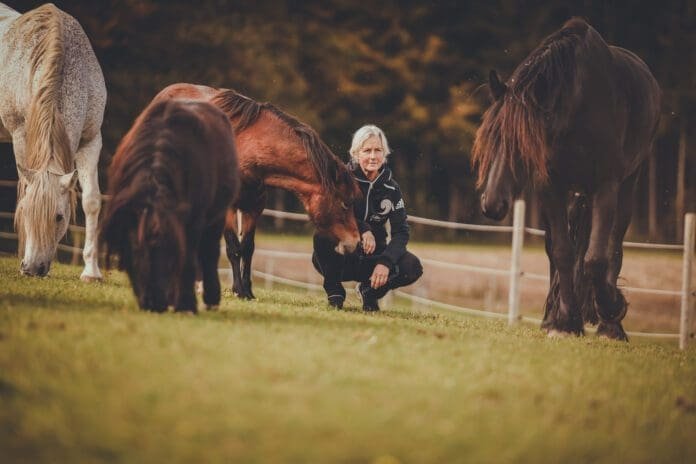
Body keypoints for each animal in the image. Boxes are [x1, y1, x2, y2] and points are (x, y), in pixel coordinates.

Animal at [0, 3, 106, 279]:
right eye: (27, 212)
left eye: (59, 217)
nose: (32, 268)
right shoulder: (20, 135)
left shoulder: (91, 140)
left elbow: (91, 200)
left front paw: (91, 271)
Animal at [100, 99, 239, 313]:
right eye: (133, 250)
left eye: (164, 247)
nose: (152, 303)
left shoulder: (194, 222)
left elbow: (188, 259)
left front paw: (186, 304)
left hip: (217, 217)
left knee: (209, 252)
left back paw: (210, 298)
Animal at [148, 83, 362, 299]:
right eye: (345, 203)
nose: (355, 242)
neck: (245, 150)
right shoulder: (228, 208)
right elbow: (234, 248)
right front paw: (238, 290)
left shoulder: (254, 207)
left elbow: (248, 248)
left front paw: (248, 290)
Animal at [472, 18, 661, 341]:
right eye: (491, 139)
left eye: (522, 144)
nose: (491, 204)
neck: (579, 105)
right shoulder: (551, 188)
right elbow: (562, 252)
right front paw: (564, 322)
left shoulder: (605, 187)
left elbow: (596, 258)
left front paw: (611, 309)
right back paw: (554, 316)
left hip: (627, 187)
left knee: (613, 248)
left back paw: (611, 326)